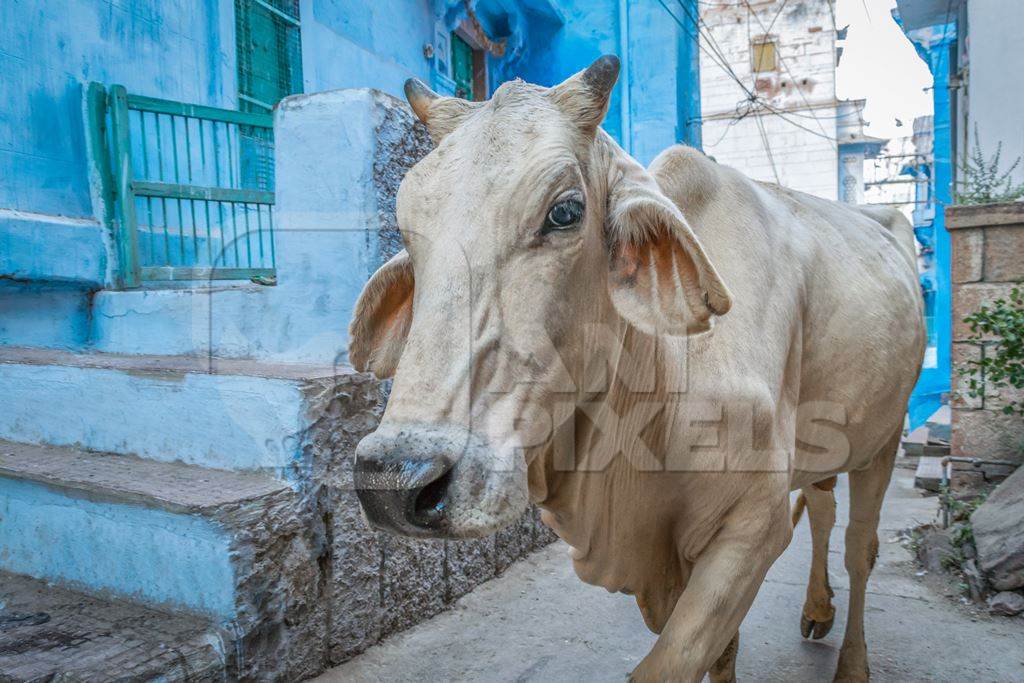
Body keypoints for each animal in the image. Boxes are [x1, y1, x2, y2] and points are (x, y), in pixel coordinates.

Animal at [348, 54, 925, 683]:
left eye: (566, 211)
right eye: (407, 228)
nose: (393, 484)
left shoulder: (753, 530)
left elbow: (675, 661)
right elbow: (722, 653)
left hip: (885, 436)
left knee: (859, 545)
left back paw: (852, 662)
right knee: (822, 507)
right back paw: (818, 607)